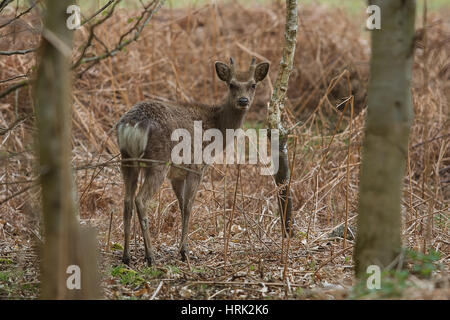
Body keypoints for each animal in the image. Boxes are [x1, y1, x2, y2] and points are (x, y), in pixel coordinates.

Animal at [117, 57, 270, 264]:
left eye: (253, 84)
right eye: (231, 84)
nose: (243, 100)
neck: (217, 128)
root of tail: (133, 125)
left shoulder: (177, 175)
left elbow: (182, 206)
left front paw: (182, 249)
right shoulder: (197, 166)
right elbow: (189, 207)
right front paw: (184, 251)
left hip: (127, 159)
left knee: (126, 201)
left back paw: (126, 256)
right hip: (158, 161)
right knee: (140, 200)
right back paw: (150, 256)